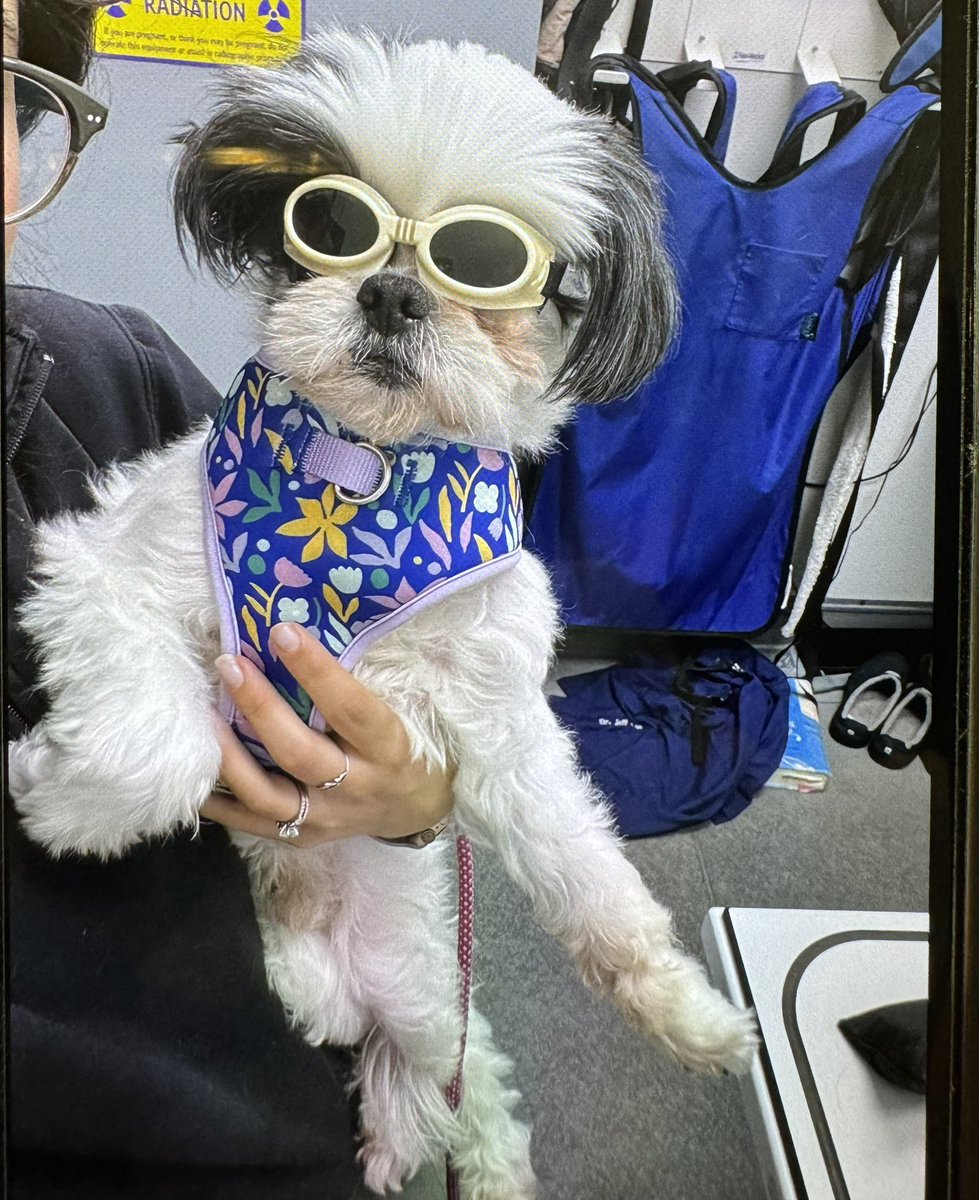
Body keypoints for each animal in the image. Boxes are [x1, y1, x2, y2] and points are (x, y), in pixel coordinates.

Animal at [9, 30, 758, 1200]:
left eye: (486, 262)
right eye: (330, 226)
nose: (394, 295)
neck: (359, 484)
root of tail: (349, 981)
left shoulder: (501, 721)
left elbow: (581, 867)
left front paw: (685, 1011)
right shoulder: (107, 571)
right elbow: (164, 750)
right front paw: (66, 804)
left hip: (422, 992)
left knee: (468, 1071)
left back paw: (477, 1163)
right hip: (347, 990)